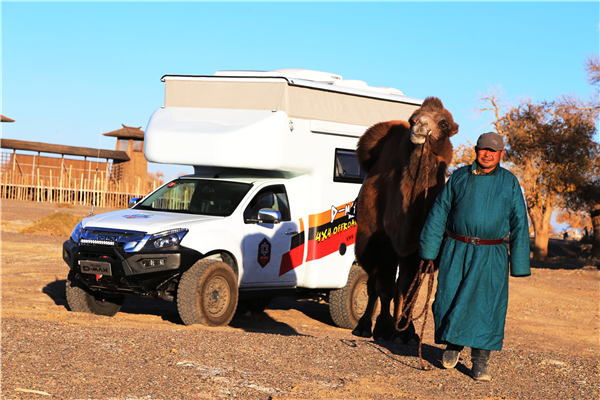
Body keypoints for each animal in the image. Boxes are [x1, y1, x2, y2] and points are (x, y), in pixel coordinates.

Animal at [354, 97, 458, 344]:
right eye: (413, 118)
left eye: (444, 123)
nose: (420, 125)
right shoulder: (383, 242)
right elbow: (385, 288)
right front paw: (383, 329)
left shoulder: (418, 250)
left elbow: (410, 290)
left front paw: (408, 332)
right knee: (374, 283)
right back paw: (363, 327)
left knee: (400, 288)